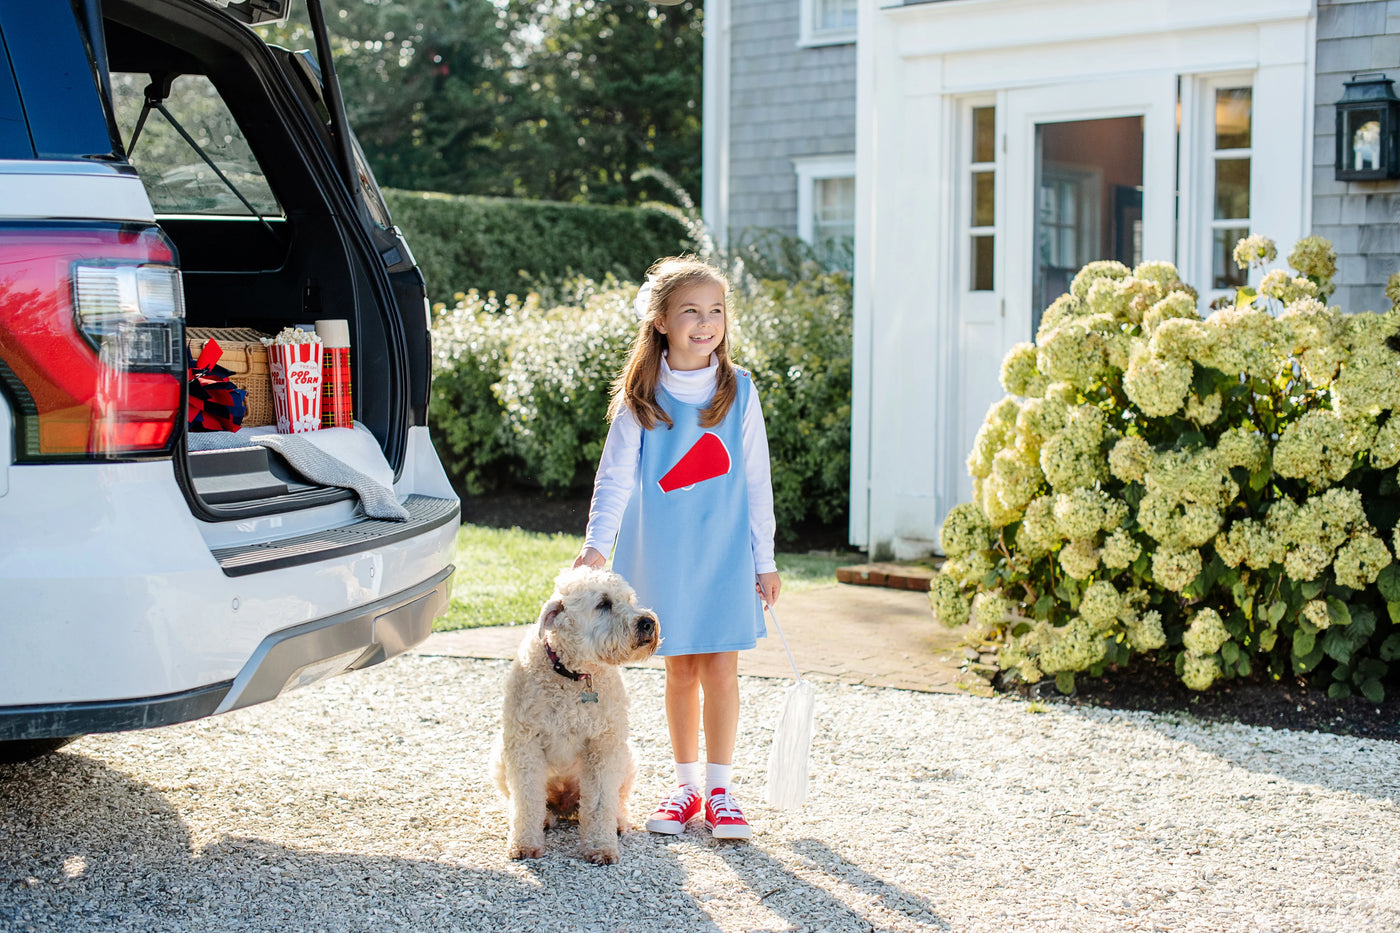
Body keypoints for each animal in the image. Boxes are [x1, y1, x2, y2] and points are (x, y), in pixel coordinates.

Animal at [492, 563, 660, 862]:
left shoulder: (603, 746)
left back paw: (618, 822)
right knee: (536, 803)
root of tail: (565, 803)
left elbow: (600, 803)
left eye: (629, 600)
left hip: (626, 758)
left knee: (615, 801)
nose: (647, 622)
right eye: (603, 603)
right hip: (500, 757)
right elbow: (526, 799)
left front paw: (601, 847)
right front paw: (524, 843)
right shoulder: (524, 745)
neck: (574, 675)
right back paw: (545, 819)